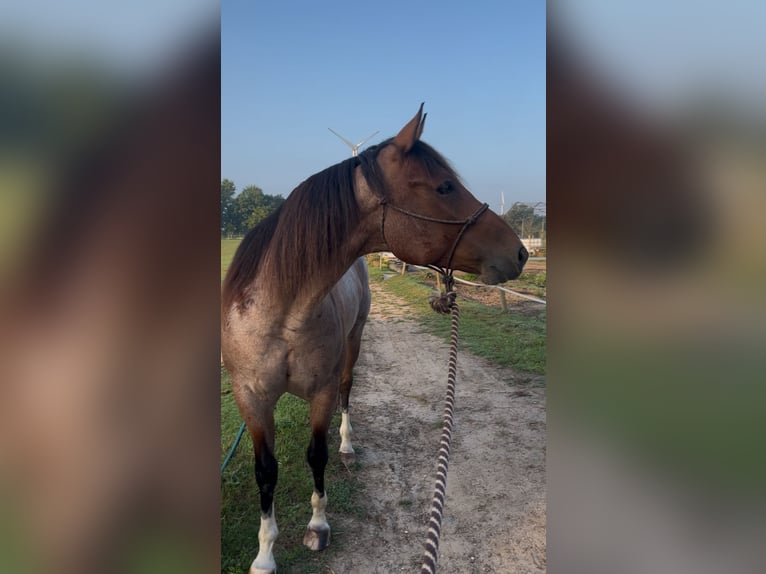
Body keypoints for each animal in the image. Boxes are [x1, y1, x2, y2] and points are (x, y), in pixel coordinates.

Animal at [221, 104, 528, 574]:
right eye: (445, 186)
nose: (520, 253)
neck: (281, 314)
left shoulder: (323, 391)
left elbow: (318, 454)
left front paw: (318, 525)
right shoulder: (251, 399)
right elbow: (266, 472)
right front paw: (265, 555)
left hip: (355, 342)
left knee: (349, 393)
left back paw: (348, 445)